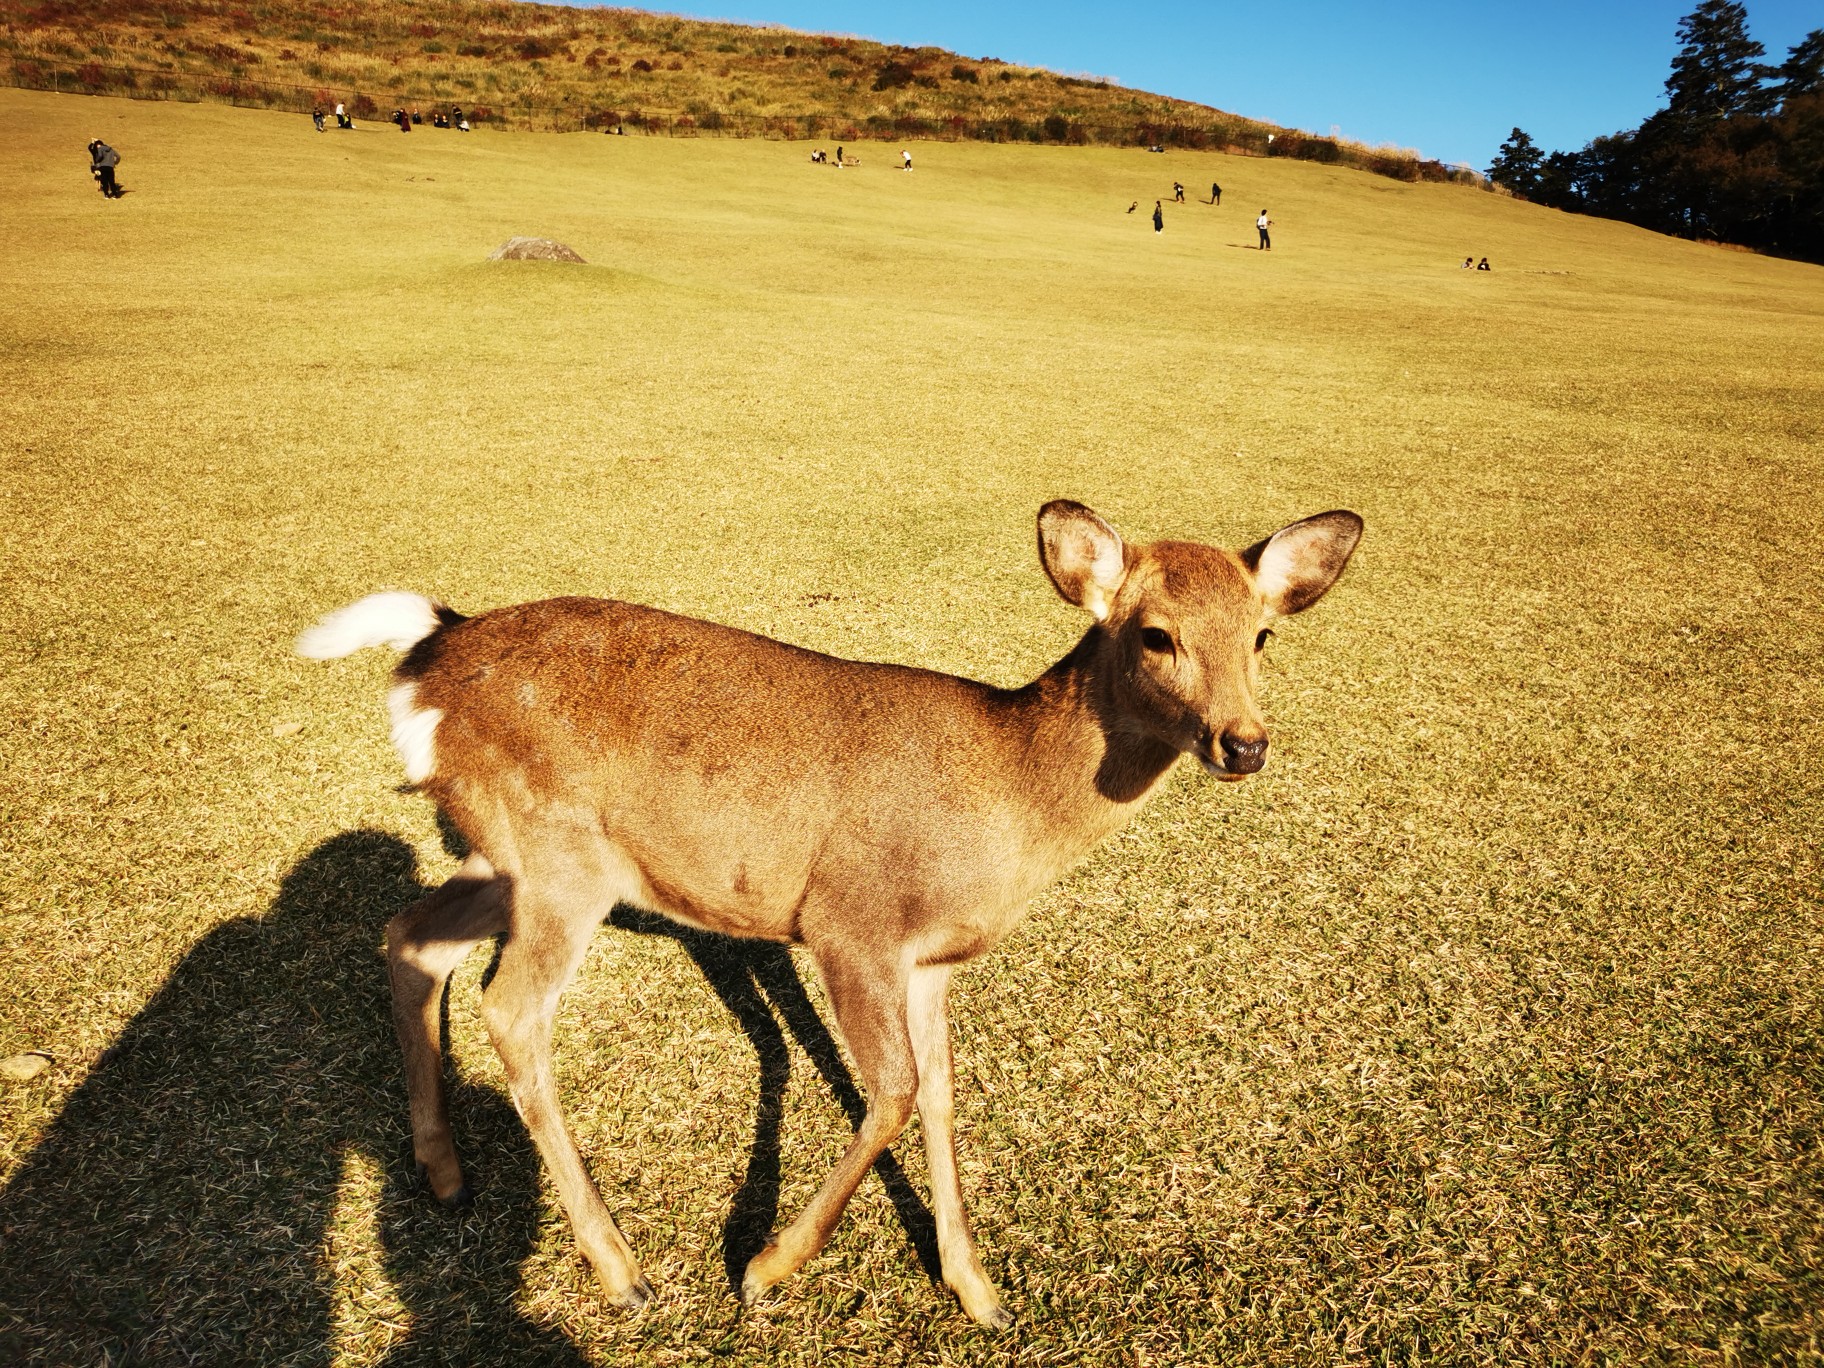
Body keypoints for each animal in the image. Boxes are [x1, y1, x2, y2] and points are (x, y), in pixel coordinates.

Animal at [295, 499, 1357, 1327]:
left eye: (1262, 635)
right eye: (1156, 634)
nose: (1243, 743)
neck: (1007, 811)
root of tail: (425, 657)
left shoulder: (930, 962)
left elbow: (940, 1090)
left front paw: (978, 1290)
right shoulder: (851, 922)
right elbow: (889, 1091)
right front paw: (763, 1268)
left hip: (505, 851)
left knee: (410, 936)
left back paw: (446, 1174)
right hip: (560, 857)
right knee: (510, 1006)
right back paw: (622, 1269)